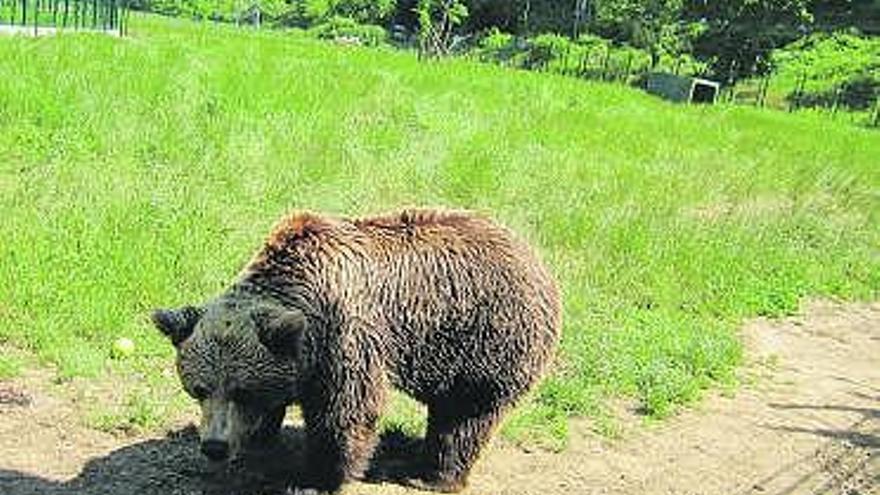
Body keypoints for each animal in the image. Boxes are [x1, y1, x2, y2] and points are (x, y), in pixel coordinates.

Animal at [151, 208, 560, 492]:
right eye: (199, 389)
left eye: (241, 390)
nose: (214, 446)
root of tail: (536, 258)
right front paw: (260, 436)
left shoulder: (342, 335)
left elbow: (345, 410)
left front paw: (318, 477)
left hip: (484, 340)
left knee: (463, 416)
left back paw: (432, 475)